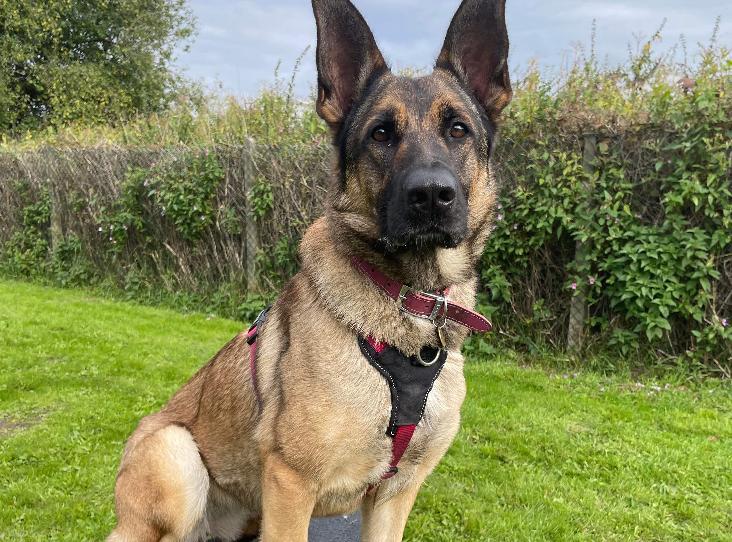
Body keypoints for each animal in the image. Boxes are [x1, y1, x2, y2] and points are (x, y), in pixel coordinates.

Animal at [108, 1, 512, 542]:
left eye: (458, 129)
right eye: (381, 134)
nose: (431, 195)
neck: (409, 303)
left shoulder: (393, 496)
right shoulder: (289, 482)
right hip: (176, 454)